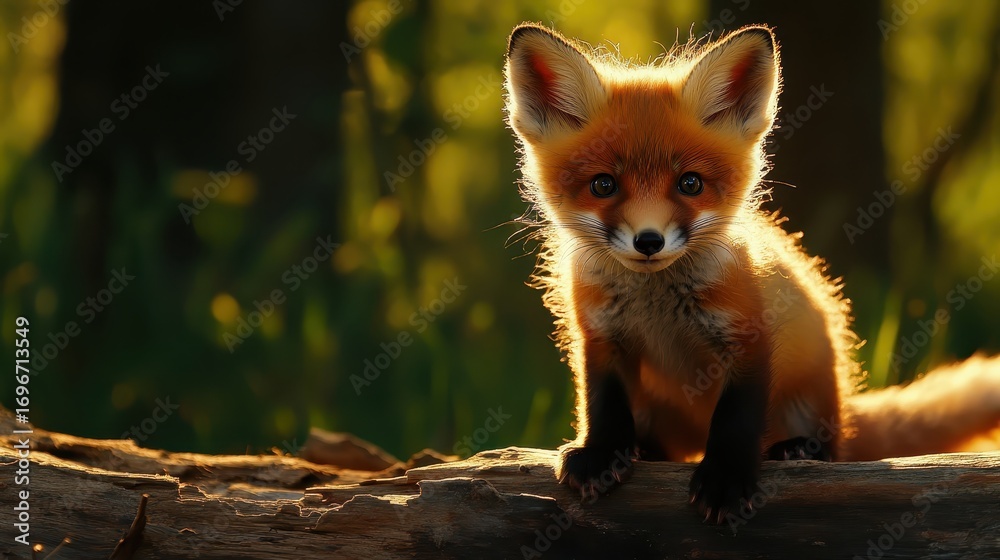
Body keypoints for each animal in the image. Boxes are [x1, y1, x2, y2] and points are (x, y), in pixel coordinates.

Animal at [502, 22, 1000, 522]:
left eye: (690, 183)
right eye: (603, 185)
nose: (649, 241)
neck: (656, 305)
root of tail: (843, 410)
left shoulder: (749, 335)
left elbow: (736, 419)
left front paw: (725, 481)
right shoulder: (600, 336)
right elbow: (601, 404)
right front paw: (602, 455)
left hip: (814, 398)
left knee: (829, 449)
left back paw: (798, 448)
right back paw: (647, 449)